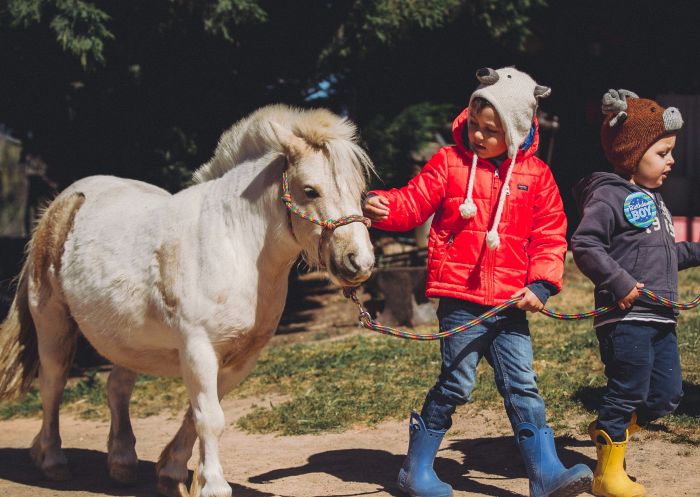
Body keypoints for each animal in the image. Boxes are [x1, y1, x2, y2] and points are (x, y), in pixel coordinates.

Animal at [0, 103, 378, 496]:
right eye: (310, 190)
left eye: (359, 189)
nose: (359, 261)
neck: (234, 243)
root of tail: (60, 205)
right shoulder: (199, 347)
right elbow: (209, 418)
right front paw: (213, 485)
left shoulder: (240, 357)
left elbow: (198, 414)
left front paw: (171, 472)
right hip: (52, 322)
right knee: (52, 383)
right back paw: (52, 460)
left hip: (125, 338)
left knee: (117, 388)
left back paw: (122, 463)